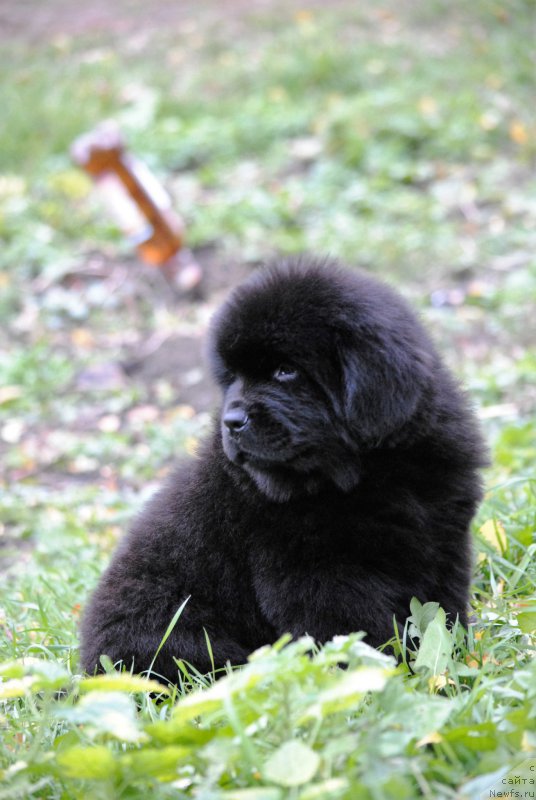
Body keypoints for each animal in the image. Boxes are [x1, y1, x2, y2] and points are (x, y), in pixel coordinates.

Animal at [79, 260, 486, 684]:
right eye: (233, 378)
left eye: (285, 371)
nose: (231, 422)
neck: (367, 474)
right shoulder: (323, 578)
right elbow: (359, 632)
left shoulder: (444, 540)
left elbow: (443, 606)